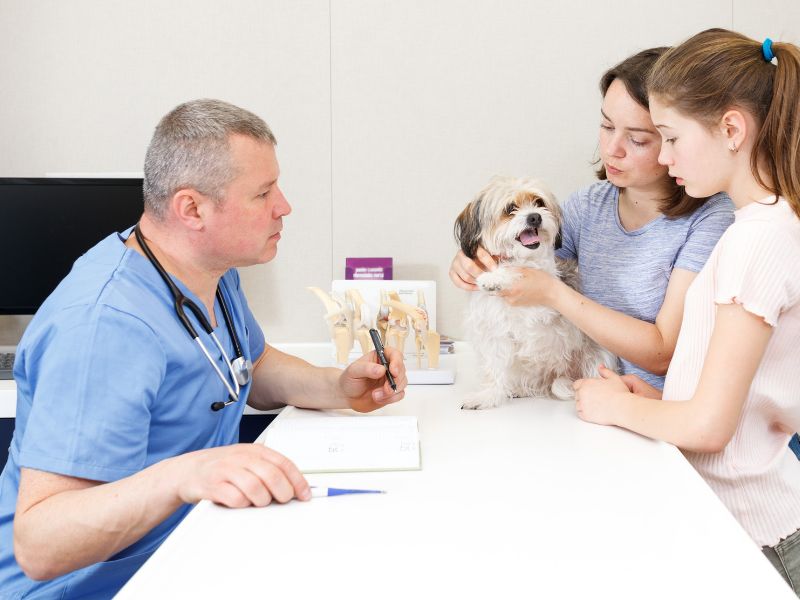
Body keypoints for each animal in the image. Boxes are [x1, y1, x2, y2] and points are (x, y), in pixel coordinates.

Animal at [454, 173, 616, 408]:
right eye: (510, 208)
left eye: (539, 203)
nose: (535, 217)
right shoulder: (493, 332)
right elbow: (494, 370)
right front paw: (487, 396)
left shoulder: (542, 299)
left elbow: (519, 270)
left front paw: (494, 278)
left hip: (599, 355)